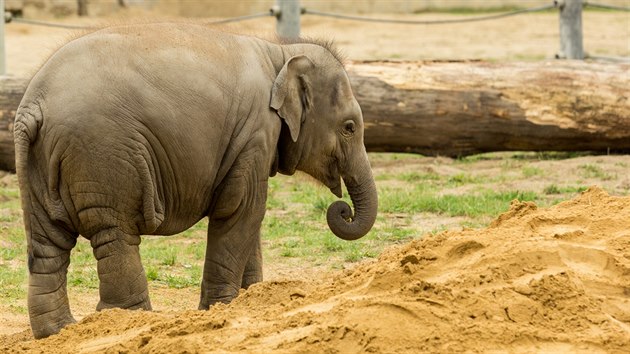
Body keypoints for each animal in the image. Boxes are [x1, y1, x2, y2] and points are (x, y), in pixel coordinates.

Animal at [14, 23, 380, 338]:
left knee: (48, 242)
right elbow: (241, 208)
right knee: (114, 232)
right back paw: (127, 322)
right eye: (349, 127)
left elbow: (250, 216)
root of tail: (34, 105)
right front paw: (220, 309)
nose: (342, 209)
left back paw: (59, 331)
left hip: (39, 164)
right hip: (104, 153)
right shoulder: (254, 133)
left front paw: (253, 300)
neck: (280, 52)